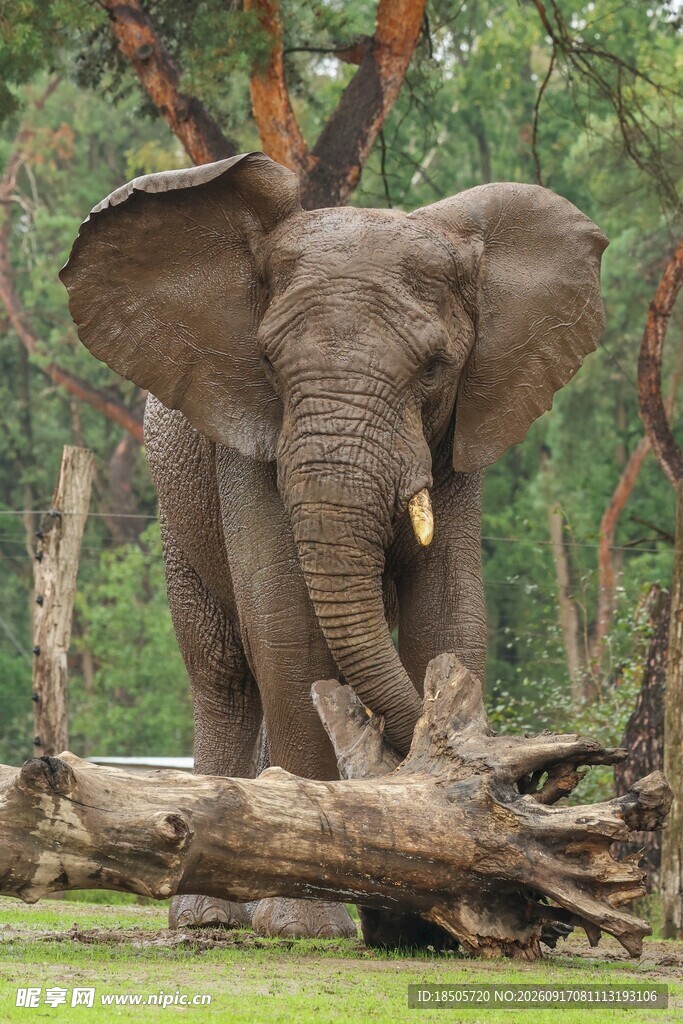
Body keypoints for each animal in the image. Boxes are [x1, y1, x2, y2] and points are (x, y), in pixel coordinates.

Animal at [60, 152, 607, 941]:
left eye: (435, 367)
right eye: (267, 360)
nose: (535, 784)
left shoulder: (460, 434)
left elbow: (449, 615)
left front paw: (420, 913)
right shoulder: (247, 434)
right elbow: (285, 624)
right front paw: (303, 923)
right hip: (175, 511)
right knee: (223, 673)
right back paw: (211, 917)